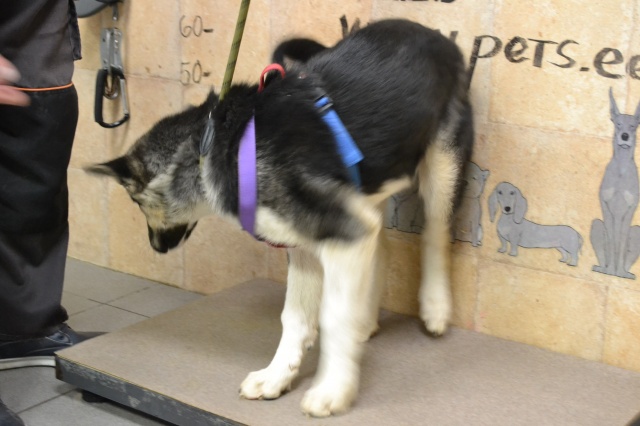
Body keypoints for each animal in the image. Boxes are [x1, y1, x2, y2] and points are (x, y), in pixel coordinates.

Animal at [87, 19, 473, 417]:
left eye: (136, 201)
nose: (156, 248)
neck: (213, 146)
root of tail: (433, 34)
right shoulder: (312, 242)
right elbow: (295, 317)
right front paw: (277, 375)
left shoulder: (339, 232)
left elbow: (334, 316)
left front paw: (333, 388)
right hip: (366, 187)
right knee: (381, 244)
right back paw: (366, 319)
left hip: (442, 166)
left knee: (435, 233)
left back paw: (435, 305)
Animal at [591, 89, 640, 279]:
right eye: (618, 124)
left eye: (633, 126)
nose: (624, 136)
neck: (621, 169)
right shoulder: (605, 206)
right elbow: (612, 243)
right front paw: (611, 270)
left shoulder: (630, 208)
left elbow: (621, 242)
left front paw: (617, 272)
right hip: (596, 224)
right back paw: (603, 269)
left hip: (637, 231)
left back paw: (624, 274)